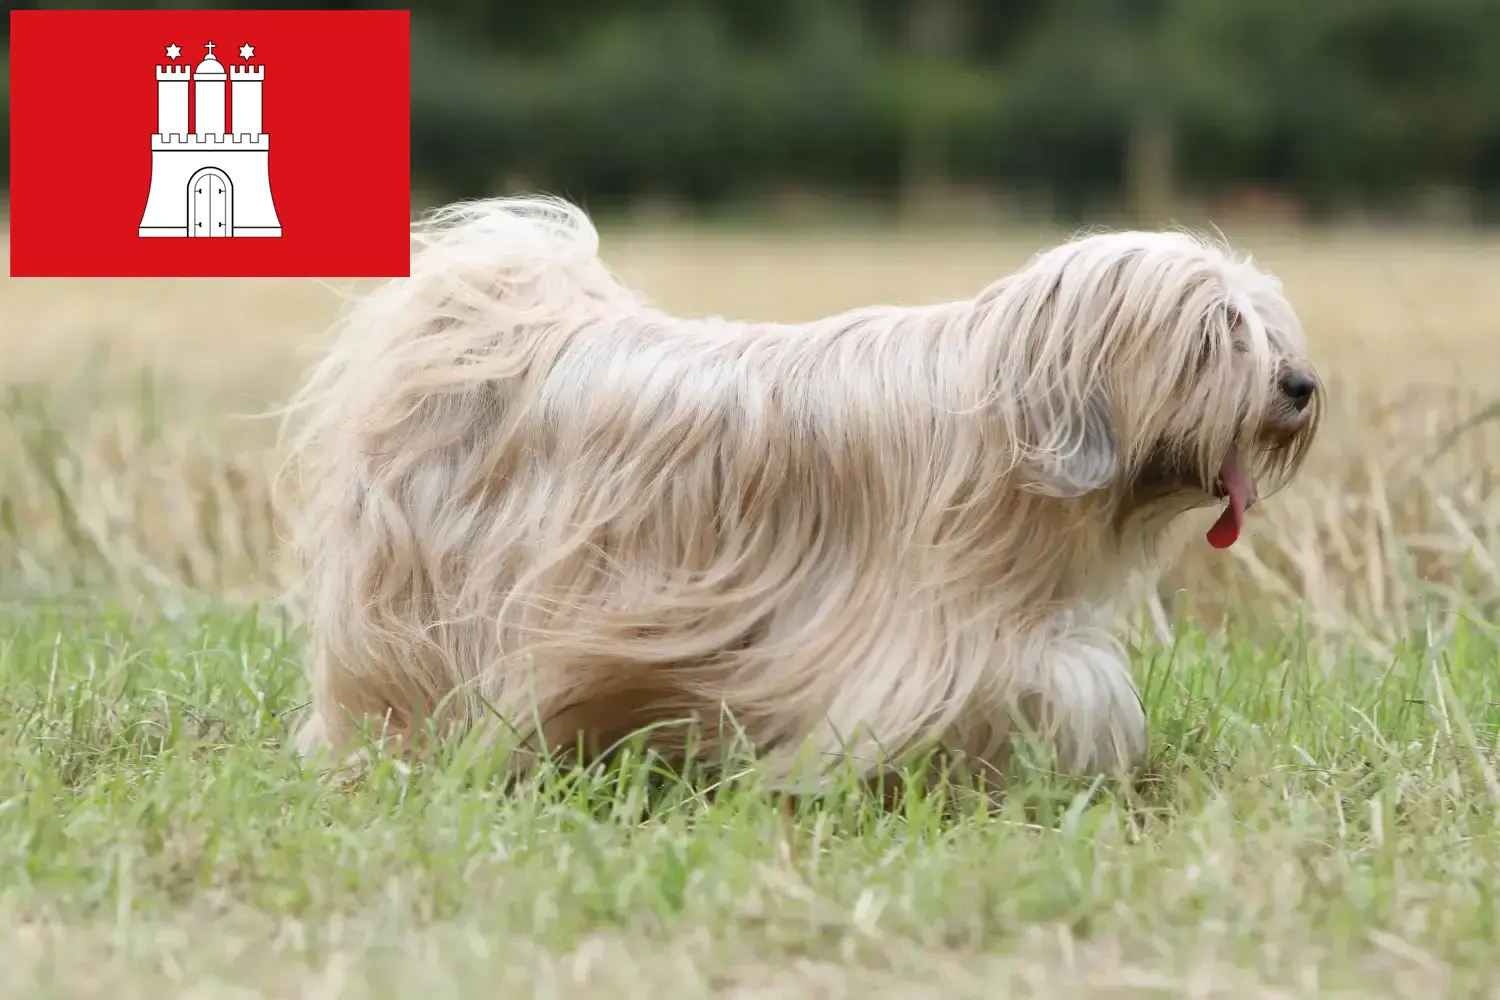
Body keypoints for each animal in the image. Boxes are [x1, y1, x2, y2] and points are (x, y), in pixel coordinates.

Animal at [276, 197, 1320, 791]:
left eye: (1268, 328)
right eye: (1216, 335)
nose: (1302, 385)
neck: (1008, 404)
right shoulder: (919, 629)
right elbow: (1059, 682)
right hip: (421, 599)